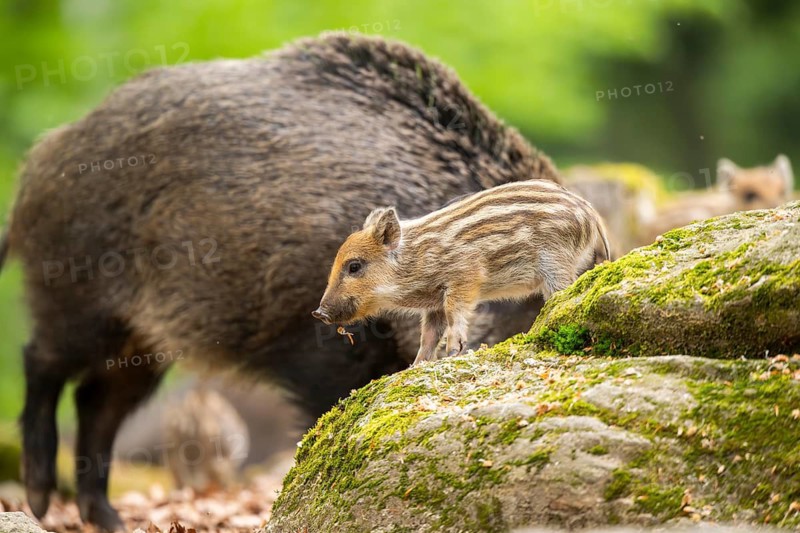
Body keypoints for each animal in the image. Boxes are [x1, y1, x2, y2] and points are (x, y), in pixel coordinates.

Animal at [0, 32, 560, 530]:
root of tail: (41, 162)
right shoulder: (316, 344)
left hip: (144, 342)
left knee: (97, 404)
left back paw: (109, 520)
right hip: (76, 296)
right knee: (42, 361)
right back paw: (41, 502)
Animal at [313, 180, 611, 364]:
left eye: (354, 266)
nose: (319, 313)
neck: (415, 261)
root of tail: (589, 211)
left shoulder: (465, 275)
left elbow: (456, 312)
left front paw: (454, 350)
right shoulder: (433, 303)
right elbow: (428, 335)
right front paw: (416, 366)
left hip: (556, 262)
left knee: (561, 296)